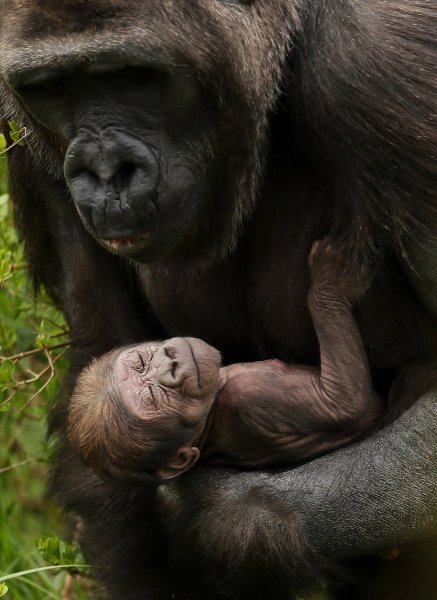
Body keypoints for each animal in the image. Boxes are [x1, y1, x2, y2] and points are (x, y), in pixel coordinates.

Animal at [66, 241, 384, 480]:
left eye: (142, 362)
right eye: (153, 398)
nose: (169, 364)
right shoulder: (249, 399)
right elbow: (345, 402)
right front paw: (329, 284)